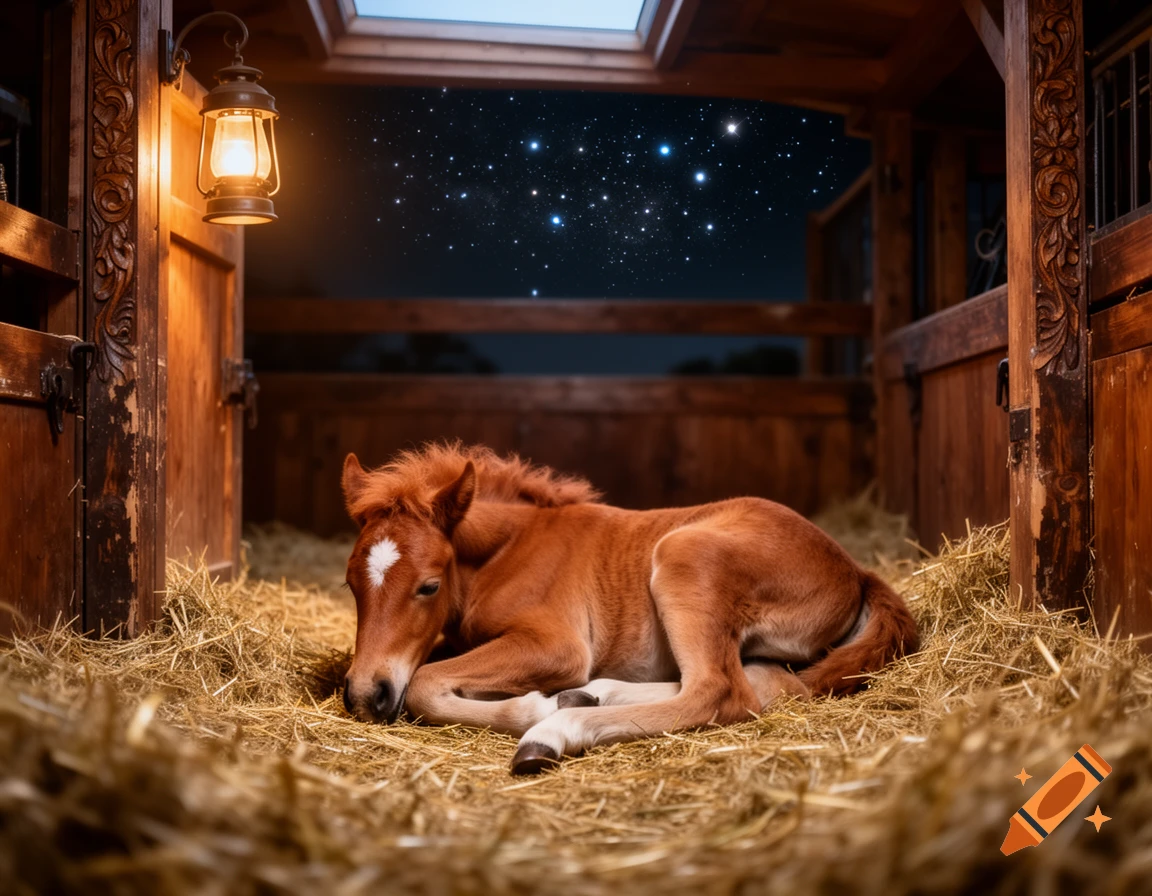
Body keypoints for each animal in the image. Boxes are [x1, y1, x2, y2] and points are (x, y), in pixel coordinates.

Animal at [340, 443, 918, 775]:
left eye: (429, 586)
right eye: (350, 584)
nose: (365, 694)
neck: (508, 550)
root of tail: (855, 570)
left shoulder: (556, 645)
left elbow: (424, 683)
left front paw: (536, 710)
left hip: (685, 556)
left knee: (720, 691)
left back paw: (555, 731)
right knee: (766, 682)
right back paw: (589, 696)